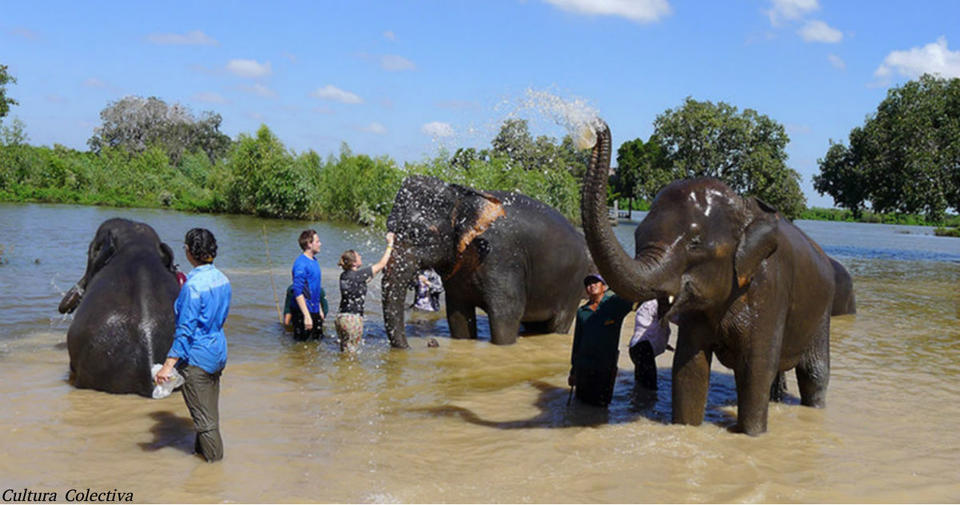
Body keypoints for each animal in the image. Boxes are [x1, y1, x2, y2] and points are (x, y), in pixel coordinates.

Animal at [380, 176, 592, 346]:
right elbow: (458, 314)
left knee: (558, 324)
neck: (463, 197)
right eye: (389, 227)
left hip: (573, 287)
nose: (409, 347)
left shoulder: (501, 258)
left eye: (419, 234)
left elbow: (507, 313)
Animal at [576, 118, 856, 434]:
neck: (743, 208)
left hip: (822, 311)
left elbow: (756, 368)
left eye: (695, 243)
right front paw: (686, 429)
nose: (596, 127)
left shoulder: (770, 288)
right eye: (636, 236)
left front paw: (753, 435)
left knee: (814, 372)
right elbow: (690, 366)